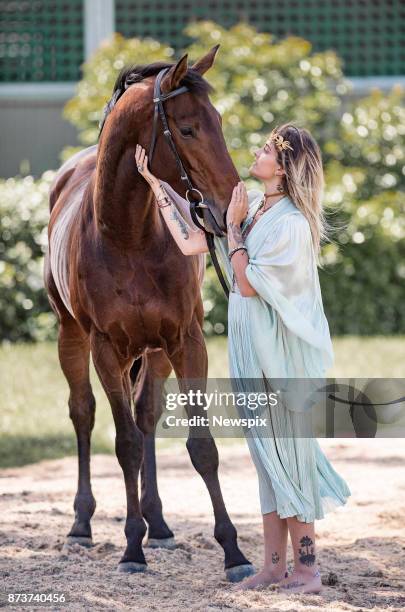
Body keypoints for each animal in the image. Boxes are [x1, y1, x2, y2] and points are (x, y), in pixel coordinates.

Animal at [44, 45, 252, 580]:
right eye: (188, 129)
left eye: (219, 121)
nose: (233, 212)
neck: (128, 235)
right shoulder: (106, 349)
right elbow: (125, 447)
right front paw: (130, 551)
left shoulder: (185, 341)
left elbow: (200, 447)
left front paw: (235, 554)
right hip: (71, 337)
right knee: (84, 413)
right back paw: (82, 525)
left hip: (155, 352)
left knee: (146, 415)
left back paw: (157, 525)